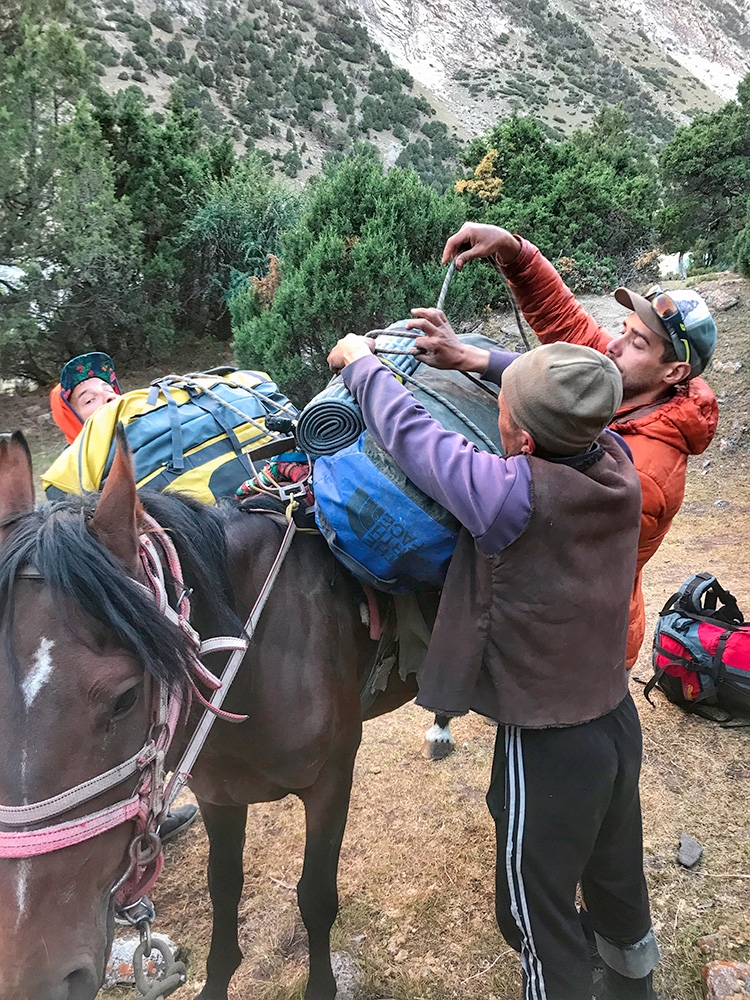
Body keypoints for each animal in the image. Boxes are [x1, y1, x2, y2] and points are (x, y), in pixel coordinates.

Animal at [0, 434, 414, 1000]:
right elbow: (224, 888)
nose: (37, 978)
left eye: (126, 697)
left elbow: (315, 896)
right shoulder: (218, 794)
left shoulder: (331, 781)